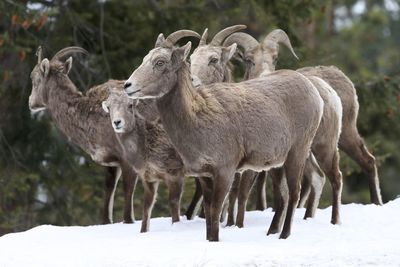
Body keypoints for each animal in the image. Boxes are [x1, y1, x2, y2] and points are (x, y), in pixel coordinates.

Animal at [28, 47, 137, 225]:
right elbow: (109, 189)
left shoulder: (128, 157)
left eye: (33, 77)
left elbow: (128, 194)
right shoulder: (111, 161)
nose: (30, 103)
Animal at [101, 87, 186, 232]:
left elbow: (174, 206)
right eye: (109, 107)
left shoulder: (175, 174)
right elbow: (147, 209)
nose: (117, 122)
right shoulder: (149, 179)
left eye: (130, 105)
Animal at [123, 33, 324, 241]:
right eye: (145, 59)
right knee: (282, 196)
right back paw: (271, 233)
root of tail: (313, 91)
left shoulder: (225, 171)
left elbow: (216, 211)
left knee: (294, 193)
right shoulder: (205, 176)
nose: (128, 85)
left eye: (160, 62)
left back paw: (283, 235)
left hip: (297, 153)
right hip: (276, 164)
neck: (198, 118)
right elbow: (208, 213)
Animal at [191, 27, 344, 229]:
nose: (193, 81)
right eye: (191, 58)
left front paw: (237, 225)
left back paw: (334, 221)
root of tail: (327, 93)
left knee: (334, 178)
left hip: (323, 147)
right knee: (314, 180)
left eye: (213, 59)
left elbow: (241, 194)